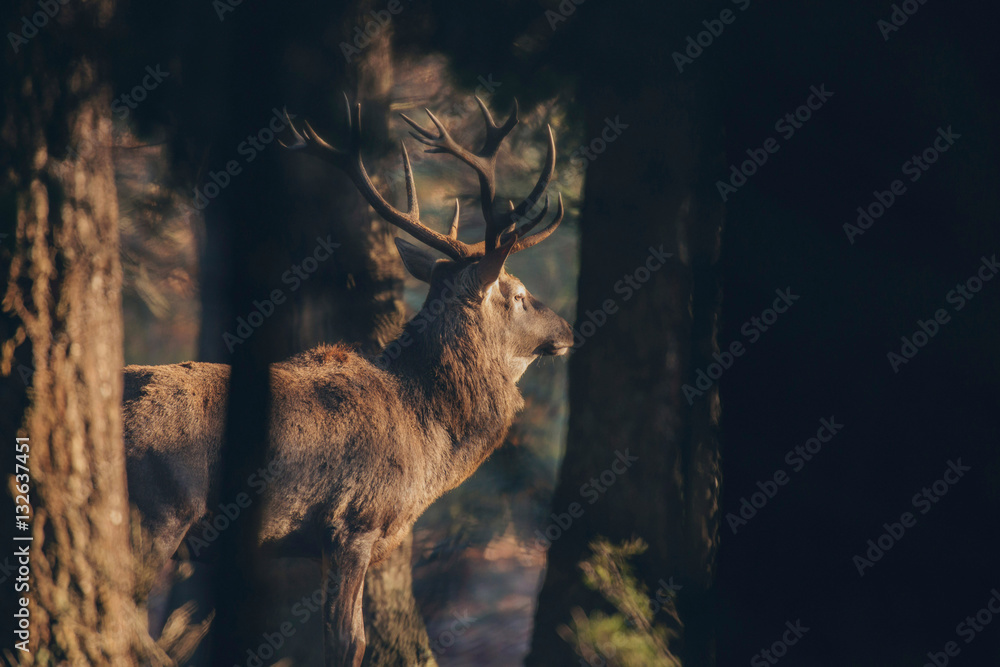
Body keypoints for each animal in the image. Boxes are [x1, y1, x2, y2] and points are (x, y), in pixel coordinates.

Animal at [122, 96, 574, 666]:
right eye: (517, 293)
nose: (568, 330)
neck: (429, 434)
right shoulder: (353, 521)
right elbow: (348, 641)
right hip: (160, 509)